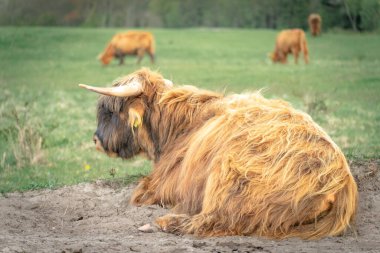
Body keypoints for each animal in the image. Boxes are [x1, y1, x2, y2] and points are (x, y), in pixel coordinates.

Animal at [78, 67, 358, 239]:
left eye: (110, 112)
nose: (95, 140)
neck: (178, 126)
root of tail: (340, 180)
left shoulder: (164, 183)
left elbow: (137, 193)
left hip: (229, 173)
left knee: (215, 220)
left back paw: (162, 222)